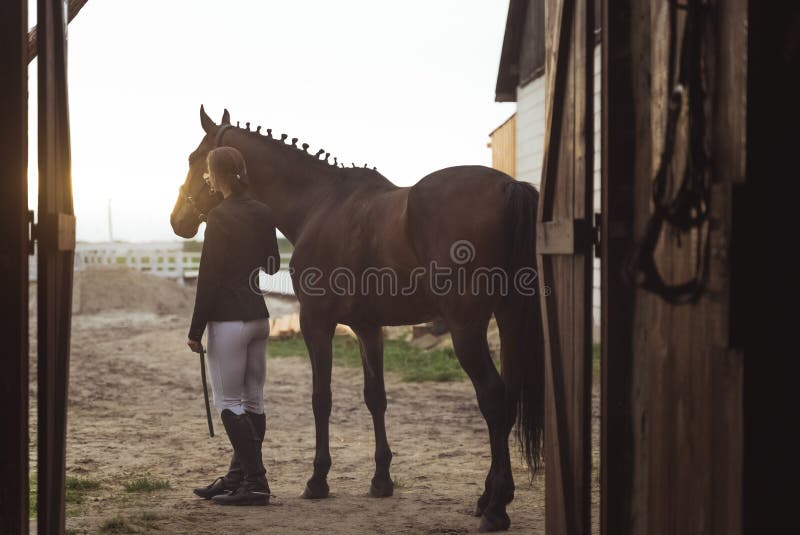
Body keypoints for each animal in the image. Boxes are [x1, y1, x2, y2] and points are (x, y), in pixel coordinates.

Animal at [169, 105, 544, 532]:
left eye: (193, 160)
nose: (178, 220)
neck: (319, 203)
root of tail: (508, 187)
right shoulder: (368, 328)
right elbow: (375, 397)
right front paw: (381, 480)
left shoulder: (317, 322)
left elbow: (321, 399)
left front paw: (318, 479)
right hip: (509, 317)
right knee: (508, 398)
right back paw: (488, 497)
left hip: (467, 329)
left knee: (494, 399)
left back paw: (496, 507)